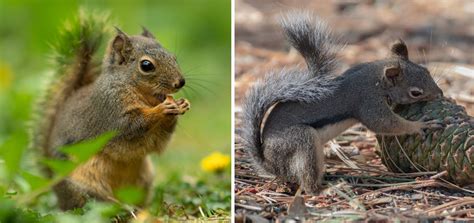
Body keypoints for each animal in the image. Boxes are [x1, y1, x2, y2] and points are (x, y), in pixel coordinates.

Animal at [29, 12, 188, 211]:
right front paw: (161, 110)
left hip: (144, 179)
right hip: (84, 183)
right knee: (96, 203)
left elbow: (159, 140)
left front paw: (181, 105)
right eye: (146, 65)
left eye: (173, 57)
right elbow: (131, 125)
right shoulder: (111, 110)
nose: (180, 82)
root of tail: (58, 195)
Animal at [241, 12, 444, 194]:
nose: (440, 94)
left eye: (426, 70)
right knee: (307, 182)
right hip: (299, 141)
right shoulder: (367, 101)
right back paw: (325, 190)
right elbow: (383, 123)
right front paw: (419, 125)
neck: (376, 78)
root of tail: (269, 163)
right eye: (415, 93)